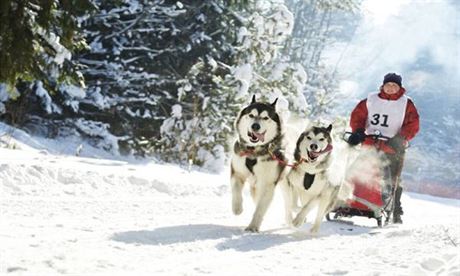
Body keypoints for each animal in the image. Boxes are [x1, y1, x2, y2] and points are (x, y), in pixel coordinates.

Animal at [232, 95, 286, 231]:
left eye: (266, 117)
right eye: (251, 115)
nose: (255, 126)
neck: (254, 152)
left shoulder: (268, 184)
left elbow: (260, 208)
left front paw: (253, 226)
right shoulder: (237, 172)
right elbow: (236, 190)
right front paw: (237, 208)